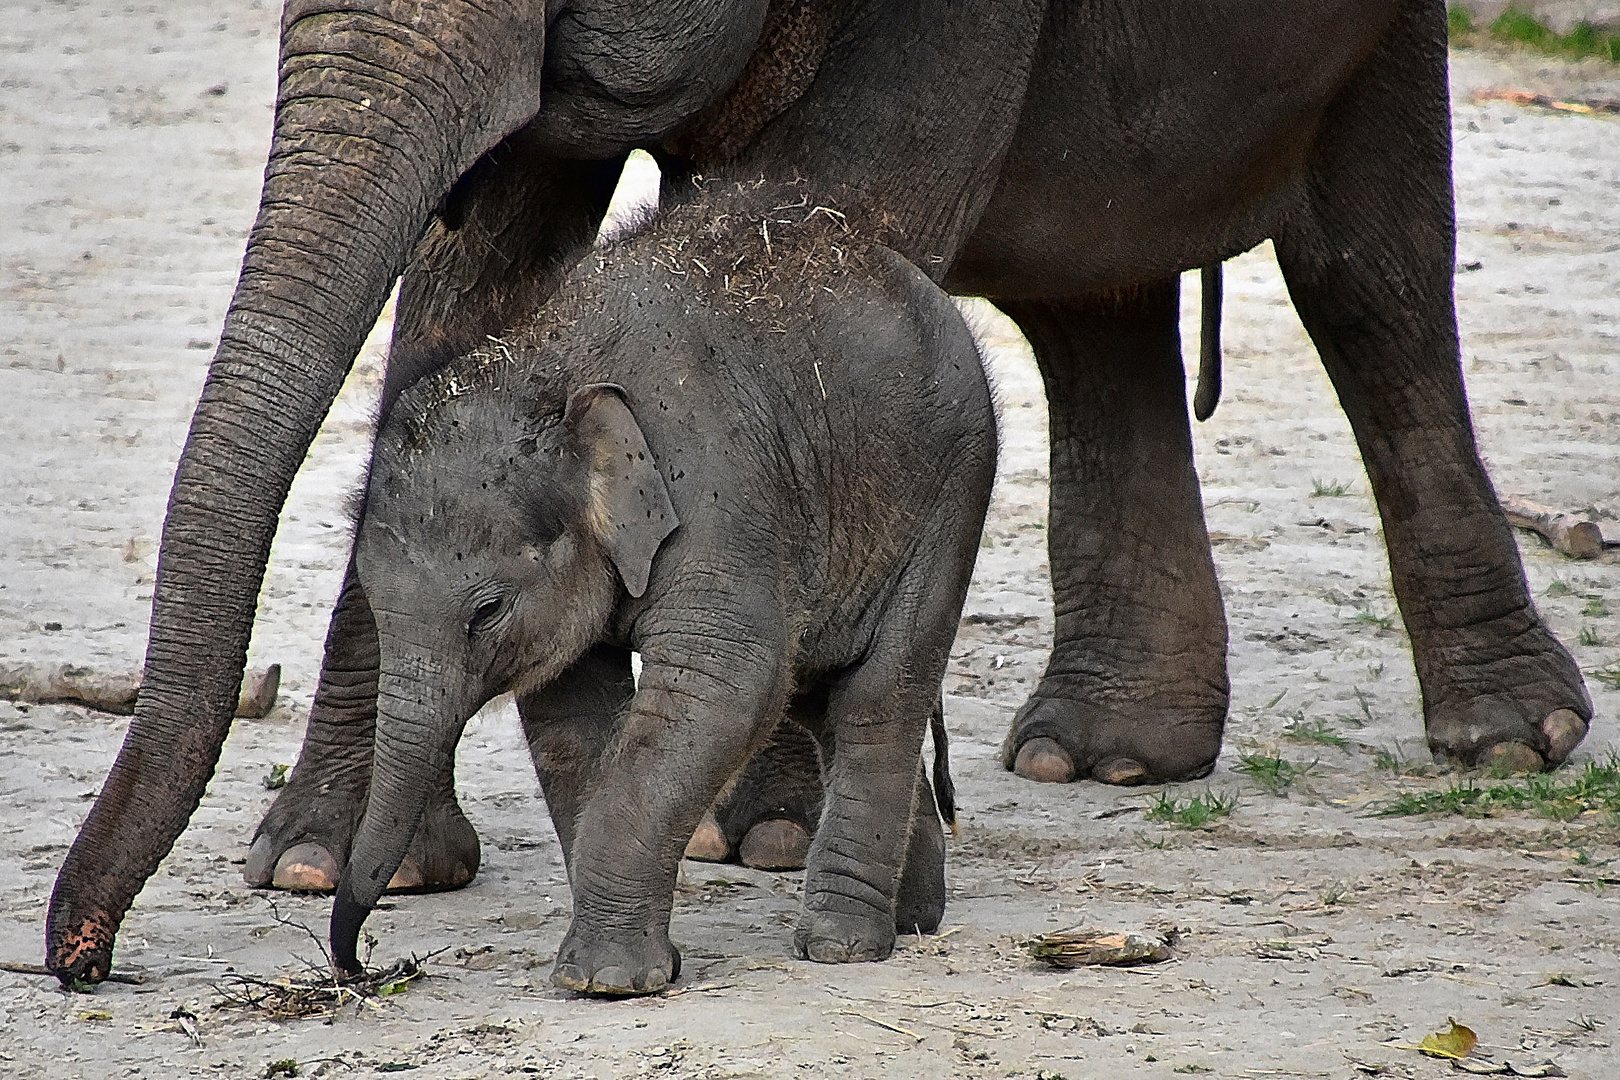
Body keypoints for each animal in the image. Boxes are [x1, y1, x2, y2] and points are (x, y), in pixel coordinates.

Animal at [328, 183, 991, 997]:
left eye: (487, 610)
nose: (360, 966)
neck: (546, 365)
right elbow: (572, 718)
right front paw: (634, 966)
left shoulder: (717, 488)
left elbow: (723, 684)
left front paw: (606, 983)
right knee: (821, 696)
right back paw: (912, 917)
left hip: (951, 491)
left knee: (876, 697)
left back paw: (843, 945)